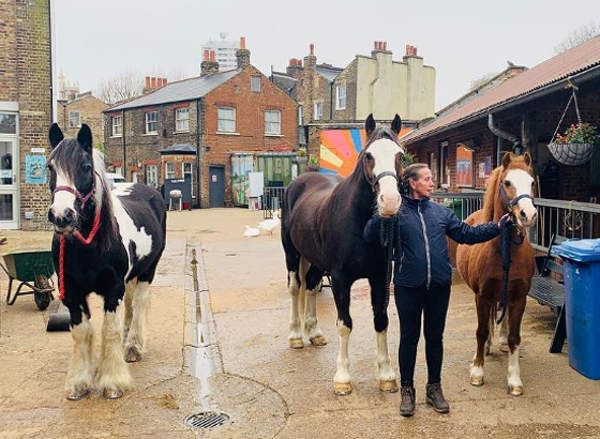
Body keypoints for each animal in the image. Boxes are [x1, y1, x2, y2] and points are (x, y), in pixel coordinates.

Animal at [47, 124, 166, 402]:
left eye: (85, 166)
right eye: (50, 167)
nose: (61, 216)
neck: (88, 248)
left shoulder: (113, 290)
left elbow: (108, 331)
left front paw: (112, 382)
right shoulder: (73, 294)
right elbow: (82, 332)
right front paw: (79, 382)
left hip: (149, 270)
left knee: (140, 303)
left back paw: (133, 346)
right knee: (131, 304)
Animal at [282, 113, 406, 396]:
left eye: (400, 155)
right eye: (368, 155)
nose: (390, 201)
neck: (359, 221)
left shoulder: (380, 276)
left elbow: (381, 319)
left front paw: (386, 375)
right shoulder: (340, 278)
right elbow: (344, 324)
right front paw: (342, 378)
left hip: (316, 261)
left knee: (310, 285)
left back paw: (314, 332)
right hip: (292, 254)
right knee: (296, 288)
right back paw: (295, 336)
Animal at [458, 153, 536, 398]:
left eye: (532, 182)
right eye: (507, 182)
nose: (528, 215)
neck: (504, 248)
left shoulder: (519, 297)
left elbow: (514, 337)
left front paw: (514, 379)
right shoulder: (481, 296)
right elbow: (481, 331)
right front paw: (477, 371)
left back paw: (499, 340)